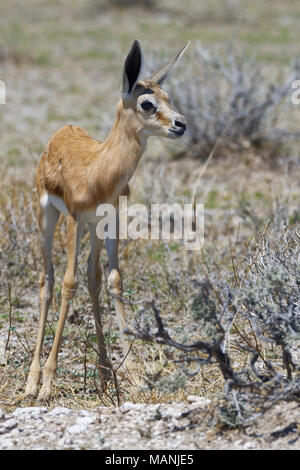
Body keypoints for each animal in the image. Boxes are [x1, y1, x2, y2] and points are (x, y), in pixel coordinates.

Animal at [25, 39, 190, 400]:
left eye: (168, 97)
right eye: (147, 103)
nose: (180, 124)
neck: (100, 169)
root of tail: (61, 131)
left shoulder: (111, 220)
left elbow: (113, 280)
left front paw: (134, 374)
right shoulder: (73, 219)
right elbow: (68, 284)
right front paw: (48, 382)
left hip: (93, 228)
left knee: (92, 278)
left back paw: (102, 372)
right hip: (49, 217)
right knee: (48, 280)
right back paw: (32, 380)